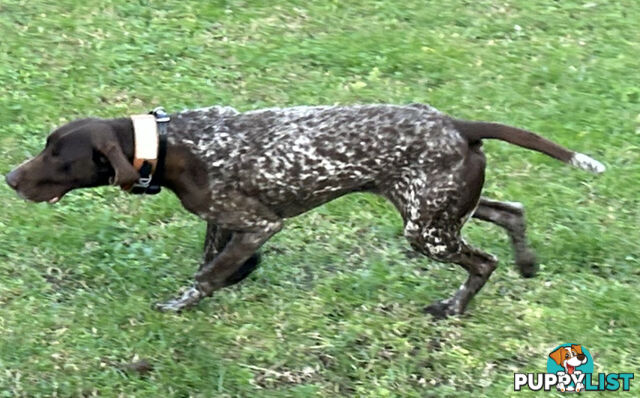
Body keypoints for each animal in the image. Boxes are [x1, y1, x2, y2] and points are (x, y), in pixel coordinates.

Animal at [6, 105, 604, 318]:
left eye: (57, 157)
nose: (10, 179)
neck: (173, 144)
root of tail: (459, 125)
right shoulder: (222, 220)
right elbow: (215, 262)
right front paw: (234, 276)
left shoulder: (260, 223)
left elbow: (207, 276)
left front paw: (182, 303)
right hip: (438, 212)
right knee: (510, 212)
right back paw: (526, 262)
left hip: (427, 230)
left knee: (482, 263)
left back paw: (455, 306)